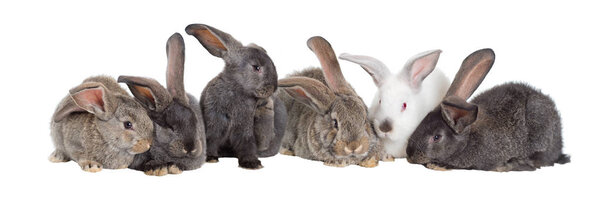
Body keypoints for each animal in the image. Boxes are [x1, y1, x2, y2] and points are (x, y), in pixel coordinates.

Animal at [186, 23, 288, 169]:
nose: (273, 88)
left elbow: (246, 144)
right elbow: (212, 139)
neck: (236, 89)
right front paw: (210, 158)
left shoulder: (244, 128)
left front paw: (251, 163)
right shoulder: (214, 121)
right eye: (256, 67)